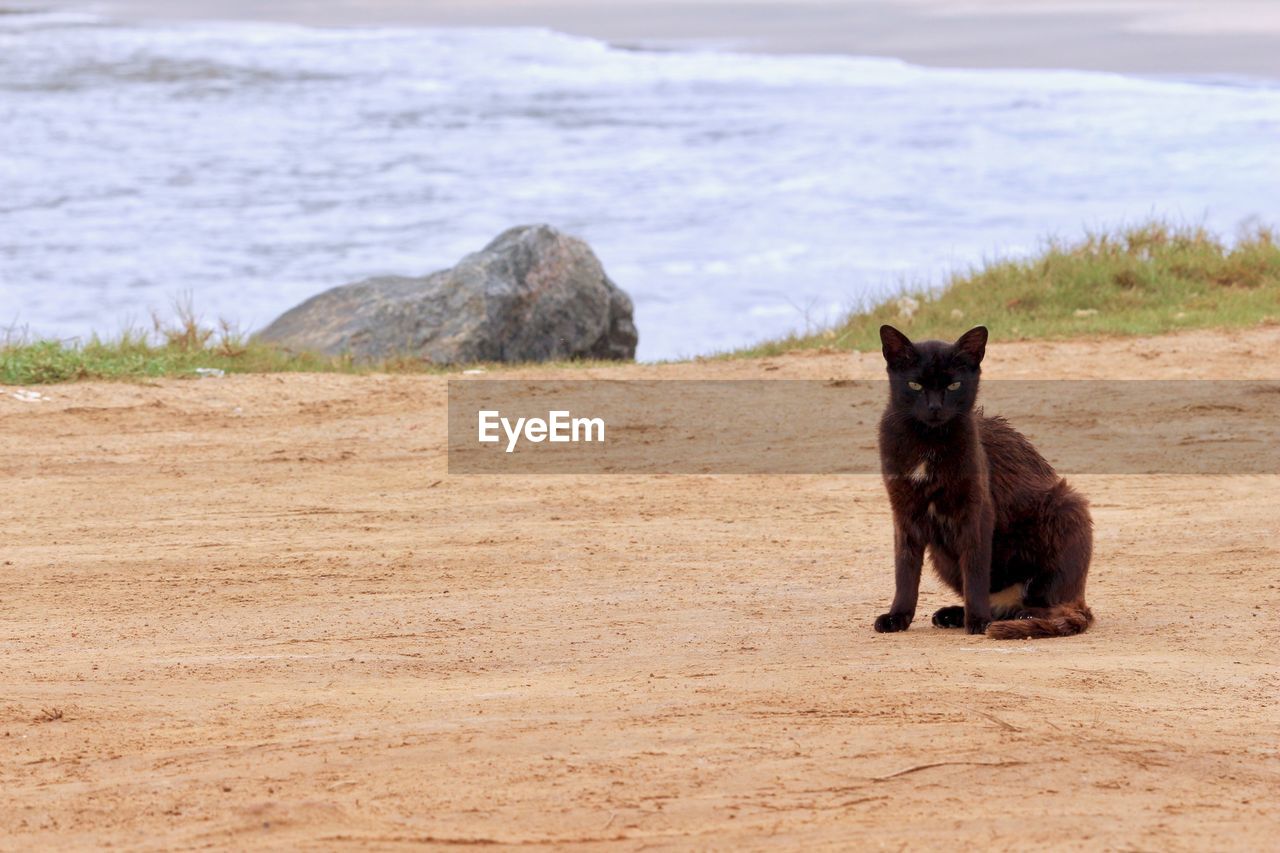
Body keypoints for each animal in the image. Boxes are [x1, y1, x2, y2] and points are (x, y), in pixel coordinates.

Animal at [875, 325, 1095, 637]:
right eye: (915, 385)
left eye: (953, 385)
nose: (934, 407)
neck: (928, 443)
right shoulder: (904, 513)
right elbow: (904, 571)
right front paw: (897, 617)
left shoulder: (976, 511)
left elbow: (976, 570)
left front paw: (978, 621)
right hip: (941, 555)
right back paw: (954, 614)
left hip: (1066, 505)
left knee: (1050, 602)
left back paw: (1021, 616)